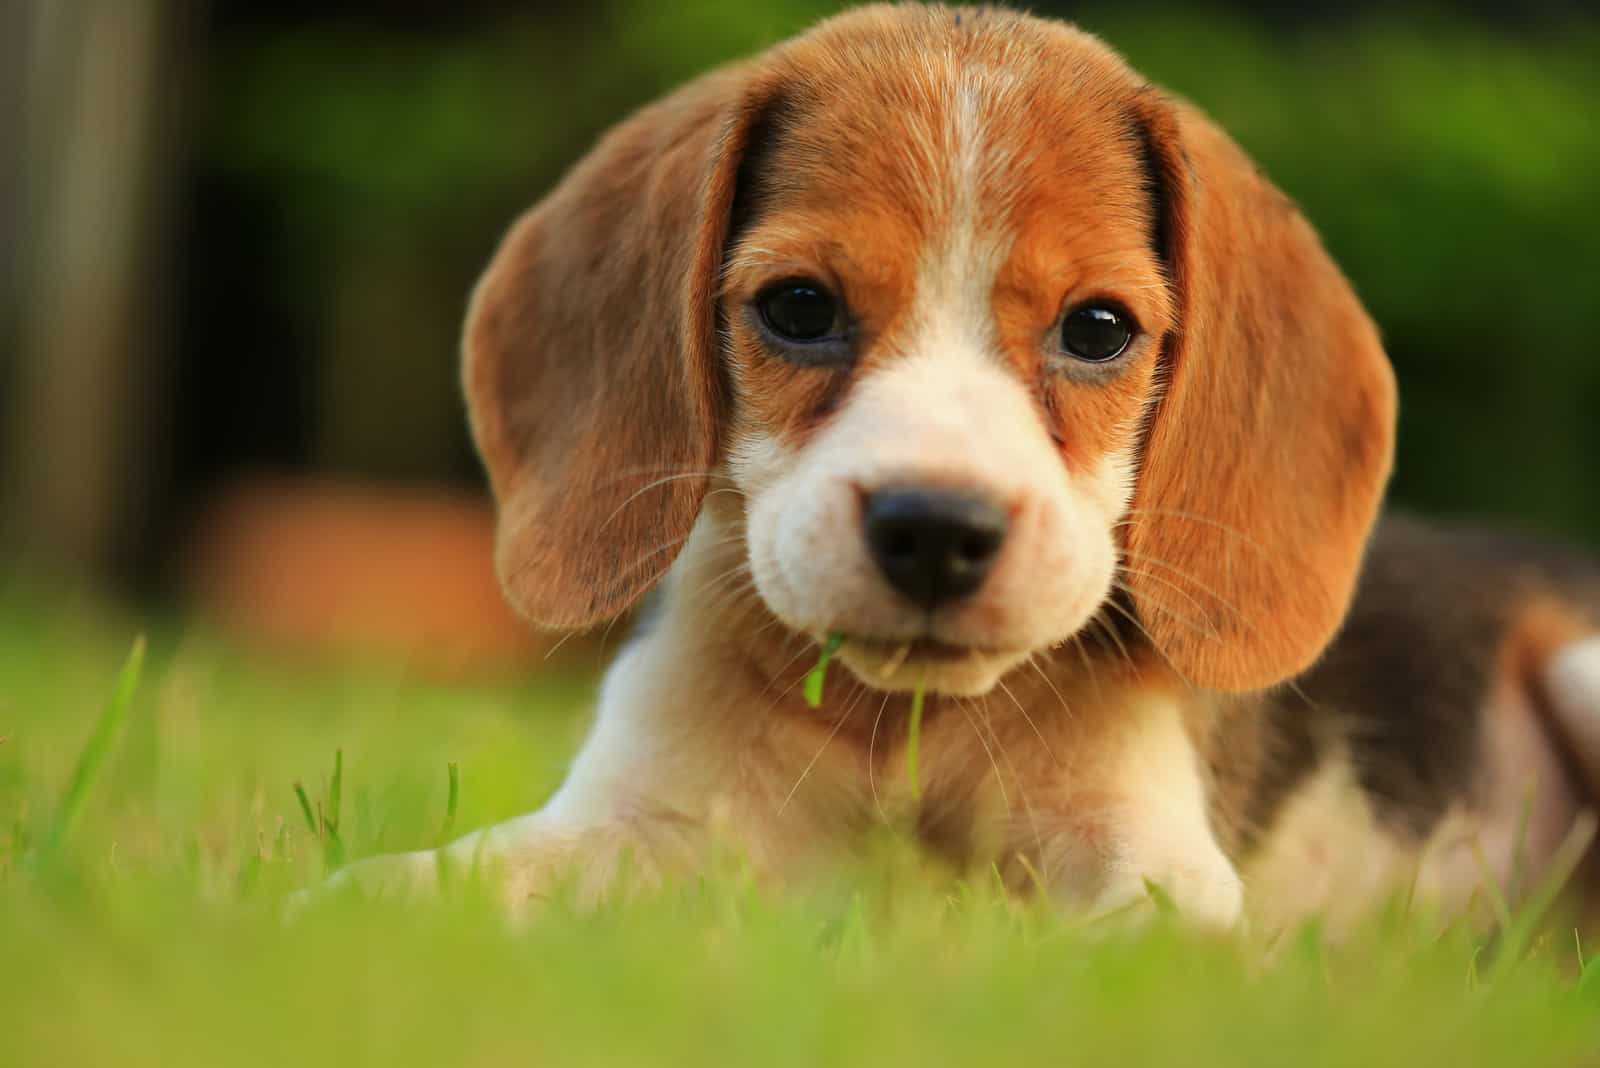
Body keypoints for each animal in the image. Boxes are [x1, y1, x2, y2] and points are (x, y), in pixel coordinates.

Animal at [334, 6, 1600, 927]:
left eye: (1098, 330)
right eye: (798, 309)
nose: (936, 529)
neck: (903, 719)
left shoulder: (1144, 860)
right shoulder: (644, 816)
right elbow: (449, 877)